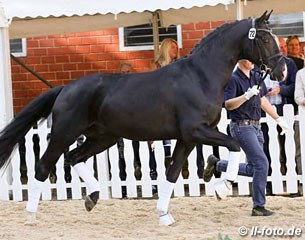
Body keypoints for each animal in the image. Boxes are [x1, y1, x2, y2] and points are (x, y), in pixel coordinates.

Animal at [0, 11, 284, 225]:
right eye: (264, 38)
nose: (281, 71)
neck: (200, 76)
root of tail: (65, 88)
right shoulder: (196, 131)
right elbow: (234, 145)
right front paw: (221, 189)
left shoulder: (187, 139)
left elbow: (172, 173)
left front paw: (164, 215)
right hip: (64, 133)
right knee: (44, 166)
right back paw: (31, 216)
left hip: (103, 138)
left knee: (74, 157)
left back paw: (92, 197)